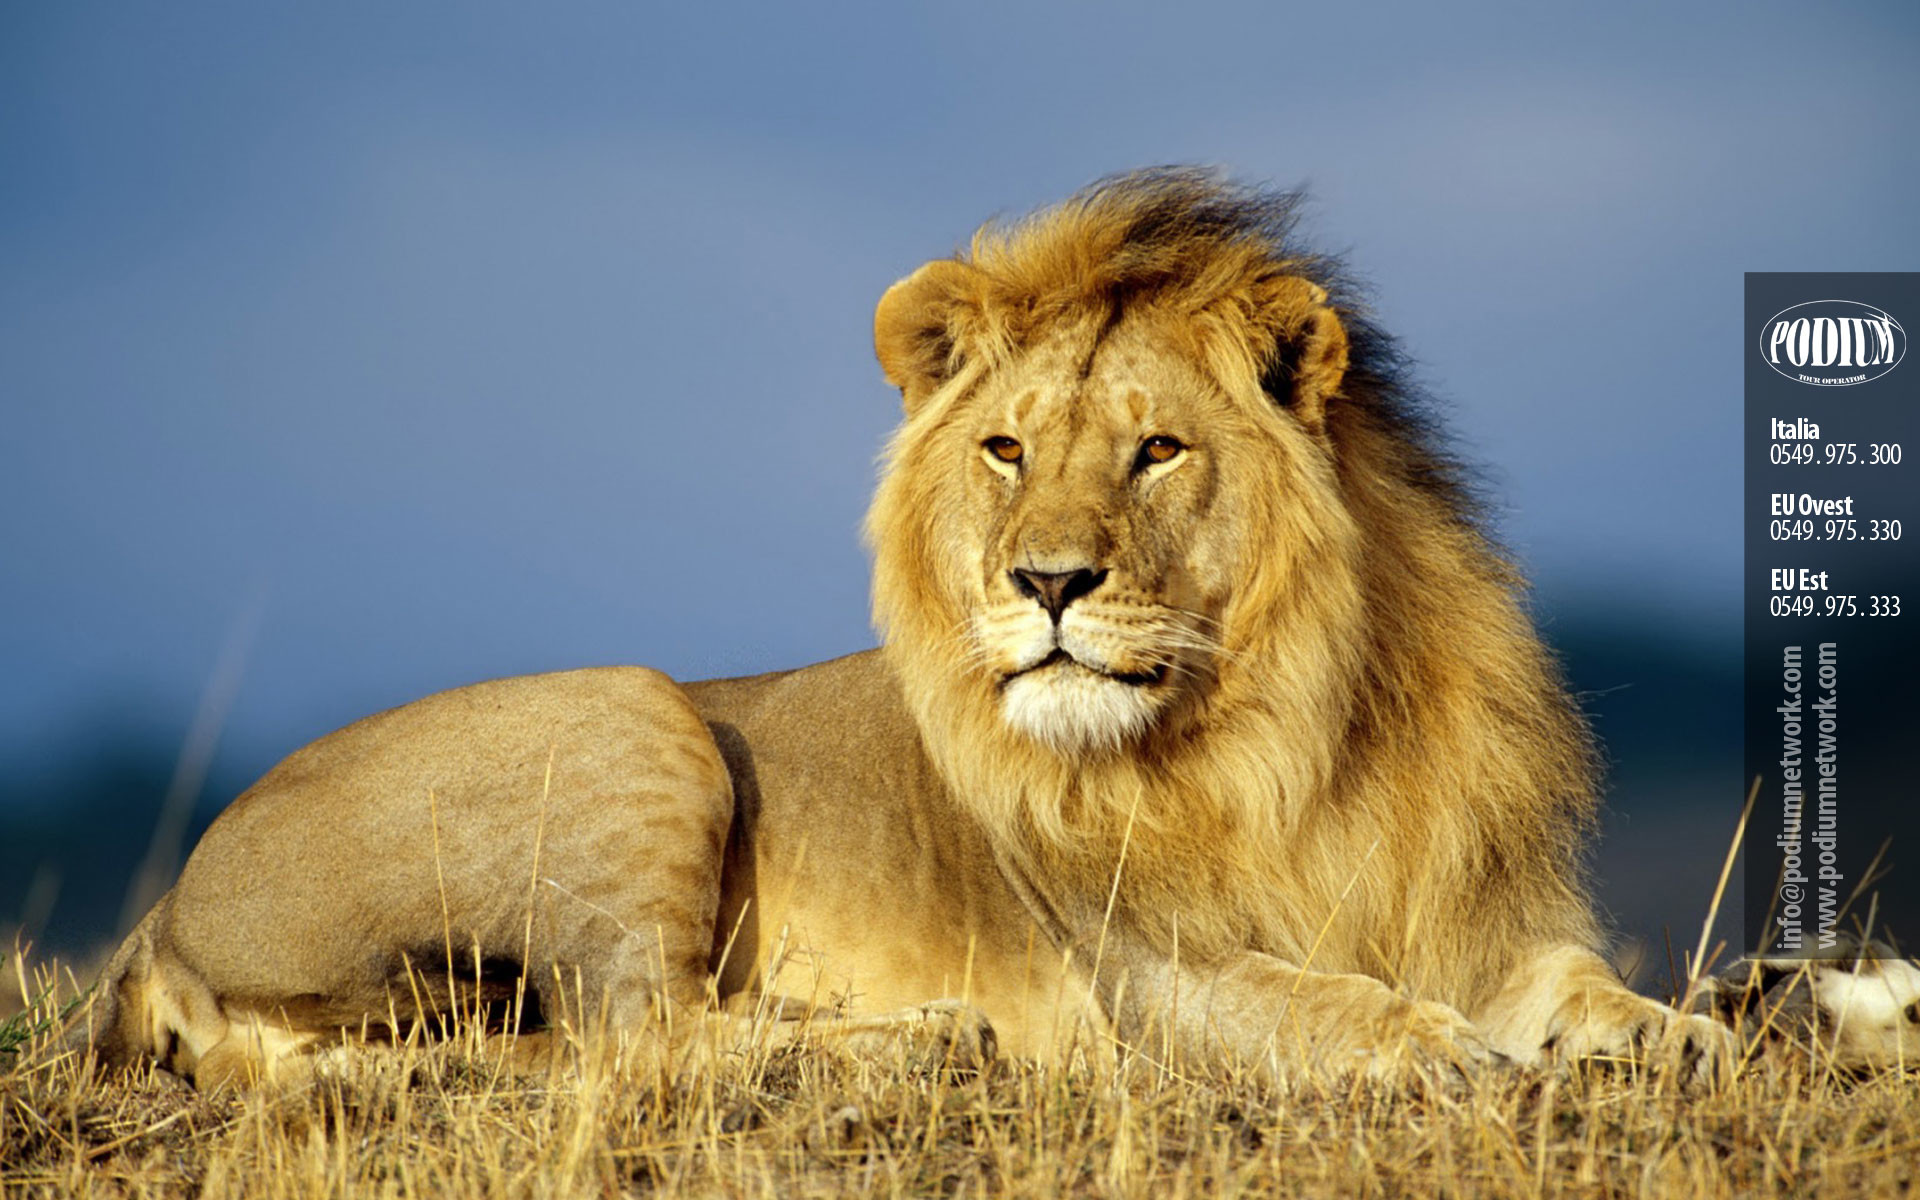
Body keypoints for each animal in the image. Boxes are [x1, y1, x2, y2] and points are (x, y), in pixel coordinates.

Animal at [71, 168, 1739, 1090]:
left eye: (1157, 451)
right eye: (1005, 450)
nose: (1048, 583)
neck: (1294, 730)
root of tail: (162, 912)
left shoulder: (1483, 916)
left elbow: (1579, 986)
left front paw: (1683, 1034)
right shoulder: (1141, 976)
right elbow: (1305, 997)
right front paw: (1425, 1046)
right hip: (635, 713)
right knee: (635, 1035)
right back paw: (925, 1042)